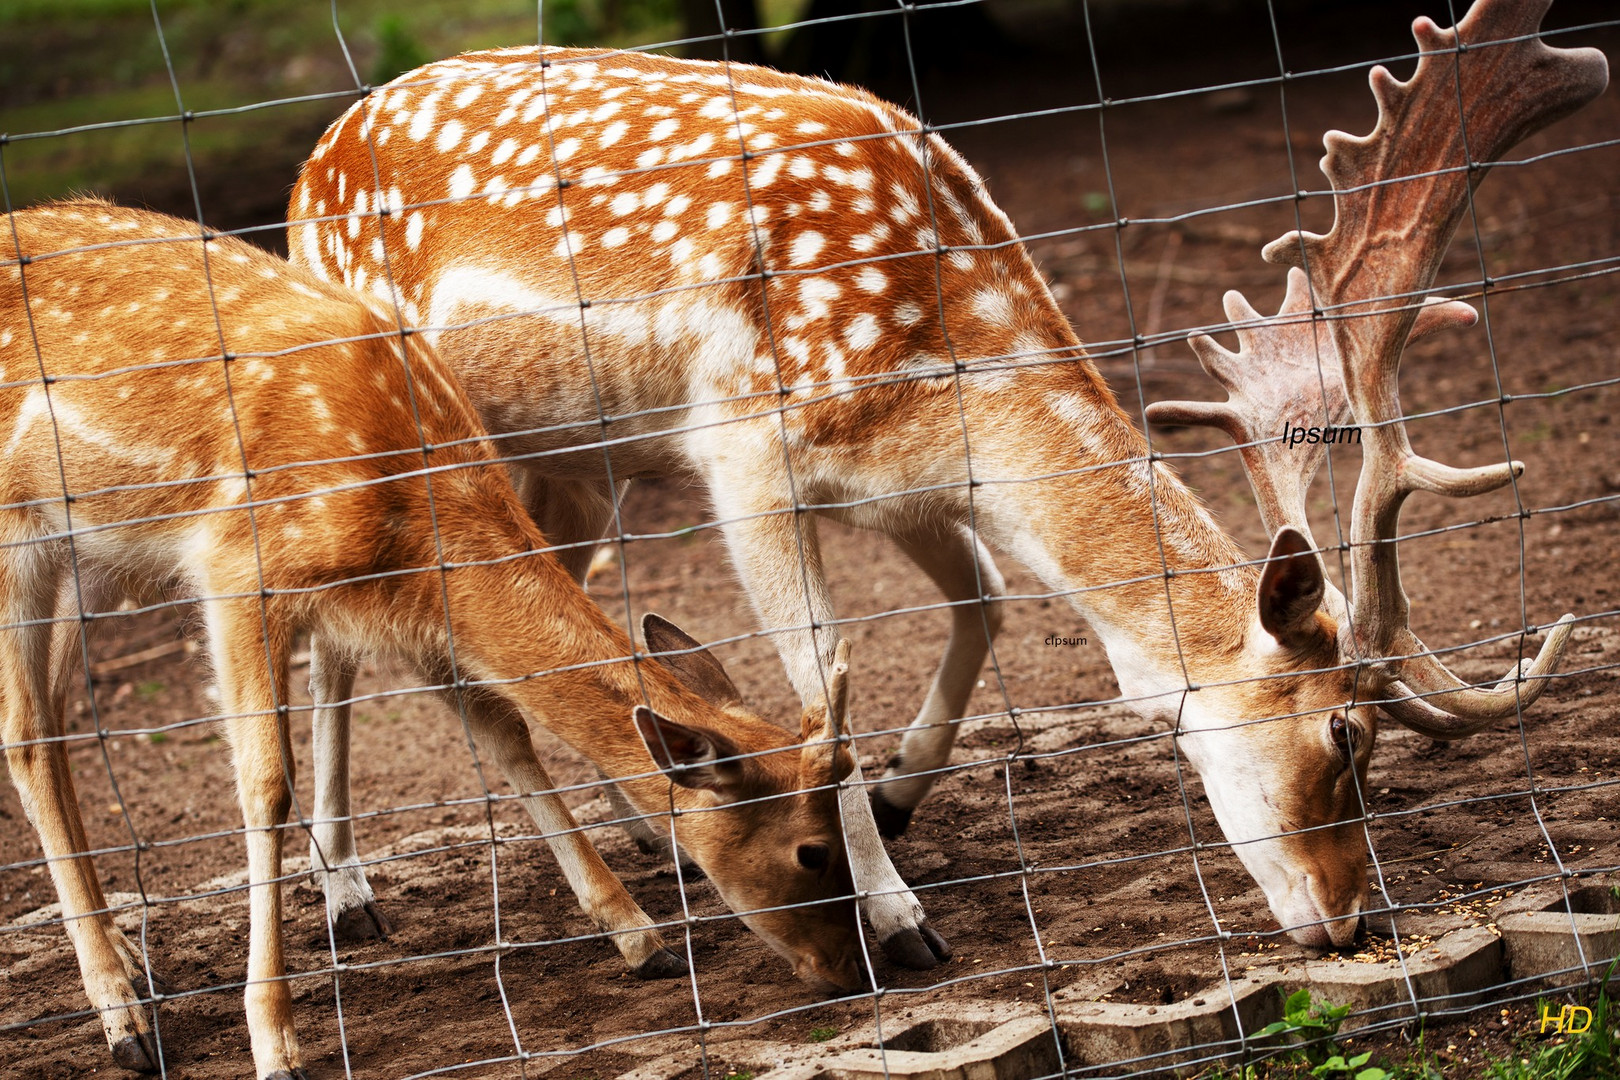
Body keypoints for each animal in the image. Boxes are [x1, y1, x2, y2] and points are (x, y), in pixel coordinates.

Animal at [3, 200, 874, 1080]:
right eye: (811, 852)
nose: (851, 969)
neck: (411, 514)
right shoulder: (235, 569)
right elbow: (266, 787)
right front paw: (275, 1041)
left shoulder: (411, 611)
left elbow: (505, 734)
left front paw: (638, 937)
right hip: (21, 535)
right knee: (26, 734)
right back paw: (124, 1017)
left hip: (92, 556)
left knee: (55, 716)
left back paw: (123, 956)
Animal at [288, 0, 1594, 965]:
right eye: (1342, 737)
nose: (1347, 919)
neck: (942, 354)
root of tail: (309, 170)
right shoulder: (742, 449)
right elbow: (821, 679)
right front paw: (897, 917)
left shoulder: (905, 483)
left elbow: (984, 602)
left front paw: (900, 801)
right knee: (338, 639)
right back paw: (353, 896)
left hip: (566, 460)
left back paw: (641, 832)